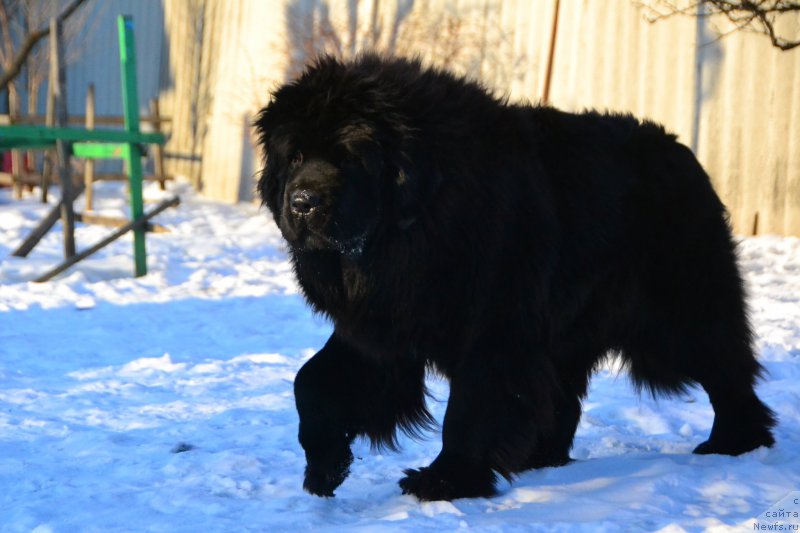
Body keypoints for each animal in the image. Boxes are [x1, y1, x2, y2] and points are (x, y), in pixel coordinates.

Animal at [255, 56, 776, 500]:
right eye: (294, 157)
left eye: (348, 157)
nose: (302, 203)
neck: (419, 227)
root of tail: (682, 152)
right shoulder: (383, 328)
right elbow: (311, 381)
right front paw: (325, 466)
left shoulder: (495, 326)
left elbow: (470, 407)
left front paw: (446, 480)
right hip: (571, 329)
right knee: (561, 395)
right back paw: (539, 457)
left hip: (678, 315)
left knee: (726, 367)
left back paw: (736, 440)